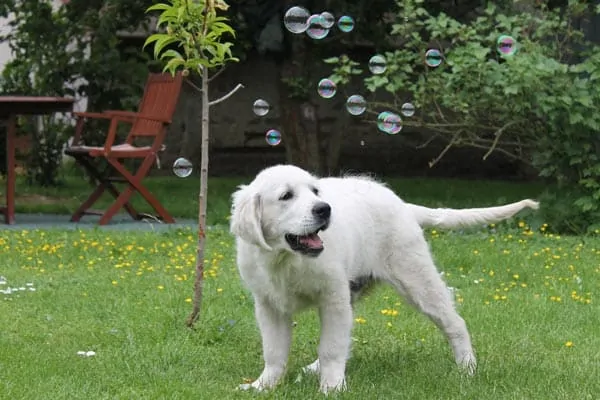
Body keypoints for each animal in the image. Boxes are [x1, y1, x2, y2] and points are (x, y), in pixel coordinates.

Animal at [230, 163, 540, 394]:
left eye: (315, 191)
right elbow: (275, 350)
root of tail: (401, 203)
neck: (285, 259)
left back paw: (467, 368)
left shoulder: (333, 297)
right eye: (286, 196)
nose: (324, 209)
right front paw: (263, 385)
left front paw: (331, 387)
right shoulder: (268, 305)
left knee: (455, 323)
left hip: (415, 276)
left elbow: (331, 346)